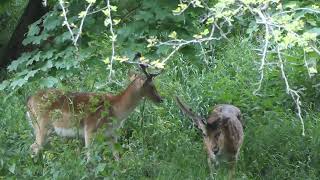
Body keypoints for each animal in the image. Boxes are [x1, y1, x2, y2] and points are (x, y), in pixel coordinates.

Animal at [26, 52, 162, 160]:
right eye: (152, 86)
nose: (161, 99)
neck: (116, 111)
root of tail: (28, 102)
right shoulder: (90, 129)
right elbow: (90, 157)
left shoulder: (112, 134)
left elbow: (117, 156)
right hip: (42, 125)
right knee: (34, 147)